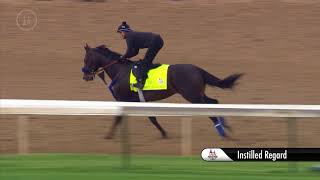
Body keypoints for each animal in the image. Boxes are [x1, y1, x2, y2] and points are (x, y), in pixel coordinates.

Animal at [82, 43, 242, 139]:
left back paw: (222, 132)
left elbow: (118, 117)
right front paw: (164, 133)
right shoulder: (140, 101)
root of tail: (197, 69)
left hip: (192, 96)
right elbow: (151, 117)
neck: (120, 71)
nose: (85, 76)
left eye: (86, 59)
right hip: (198, 93)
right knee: (213, 101)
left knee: (208, 109)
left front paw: (108, 136)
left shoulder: (123, 99)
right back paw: (225, 125)